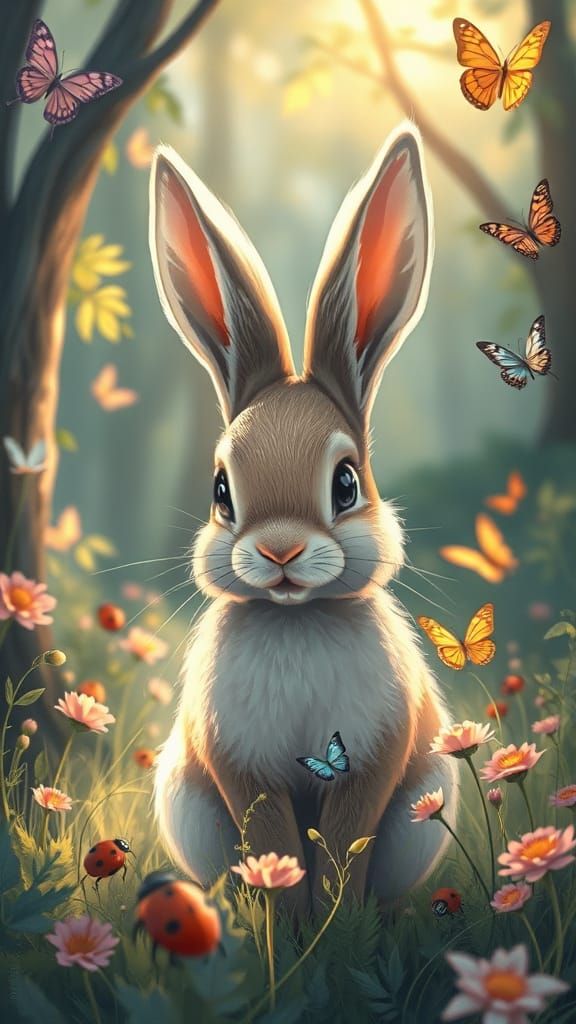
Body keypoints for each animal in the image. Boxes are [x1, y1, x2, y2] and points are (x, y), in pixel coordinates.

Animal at [149, 121, 459, 917]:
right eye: (222, 491)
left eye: (345, 484)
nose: (281, 552)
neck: (297, 619)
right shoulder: (240, 766)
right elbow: (274, 846)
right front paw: (285, 922)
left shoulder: (372, 760)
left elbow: (346, 844)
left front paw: (336, 930)